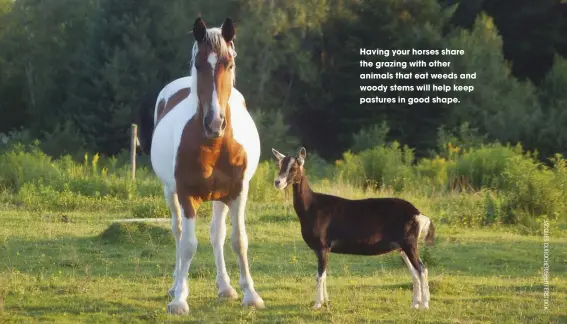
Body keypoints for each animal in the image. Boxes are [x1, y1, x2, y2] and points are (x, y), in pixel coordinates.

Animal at [142, 17, 266, 314]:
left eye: (229, 63)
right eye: (198, 65)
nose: (215, 122)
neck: (214, 144)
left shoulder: (238, 192)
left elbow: (238, 240)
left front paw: (251, 295)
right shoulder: (186, 194)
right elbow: (188, 245)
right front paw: (179, 300)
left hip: (220, 198)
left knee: (217, 235)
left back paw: (225, 287)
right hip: (170, 192)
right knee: (177, 233)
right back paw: (176, 285)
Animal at [272, 148, 438, 310]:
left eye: (294, 167)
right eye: (280, 165)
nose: (277, 182)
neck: (312, 206)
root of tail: (418, 213)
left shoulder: (322, 247)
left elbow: (319, 276)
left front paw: (317, 304)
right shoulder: (324, 250)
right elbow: (324, 275)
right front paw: (326, 301)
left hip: (410, 244)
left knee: (422, 270)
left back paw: (424, 305)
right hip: (402, 247)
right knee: (414, 272)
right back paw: (415, 304)